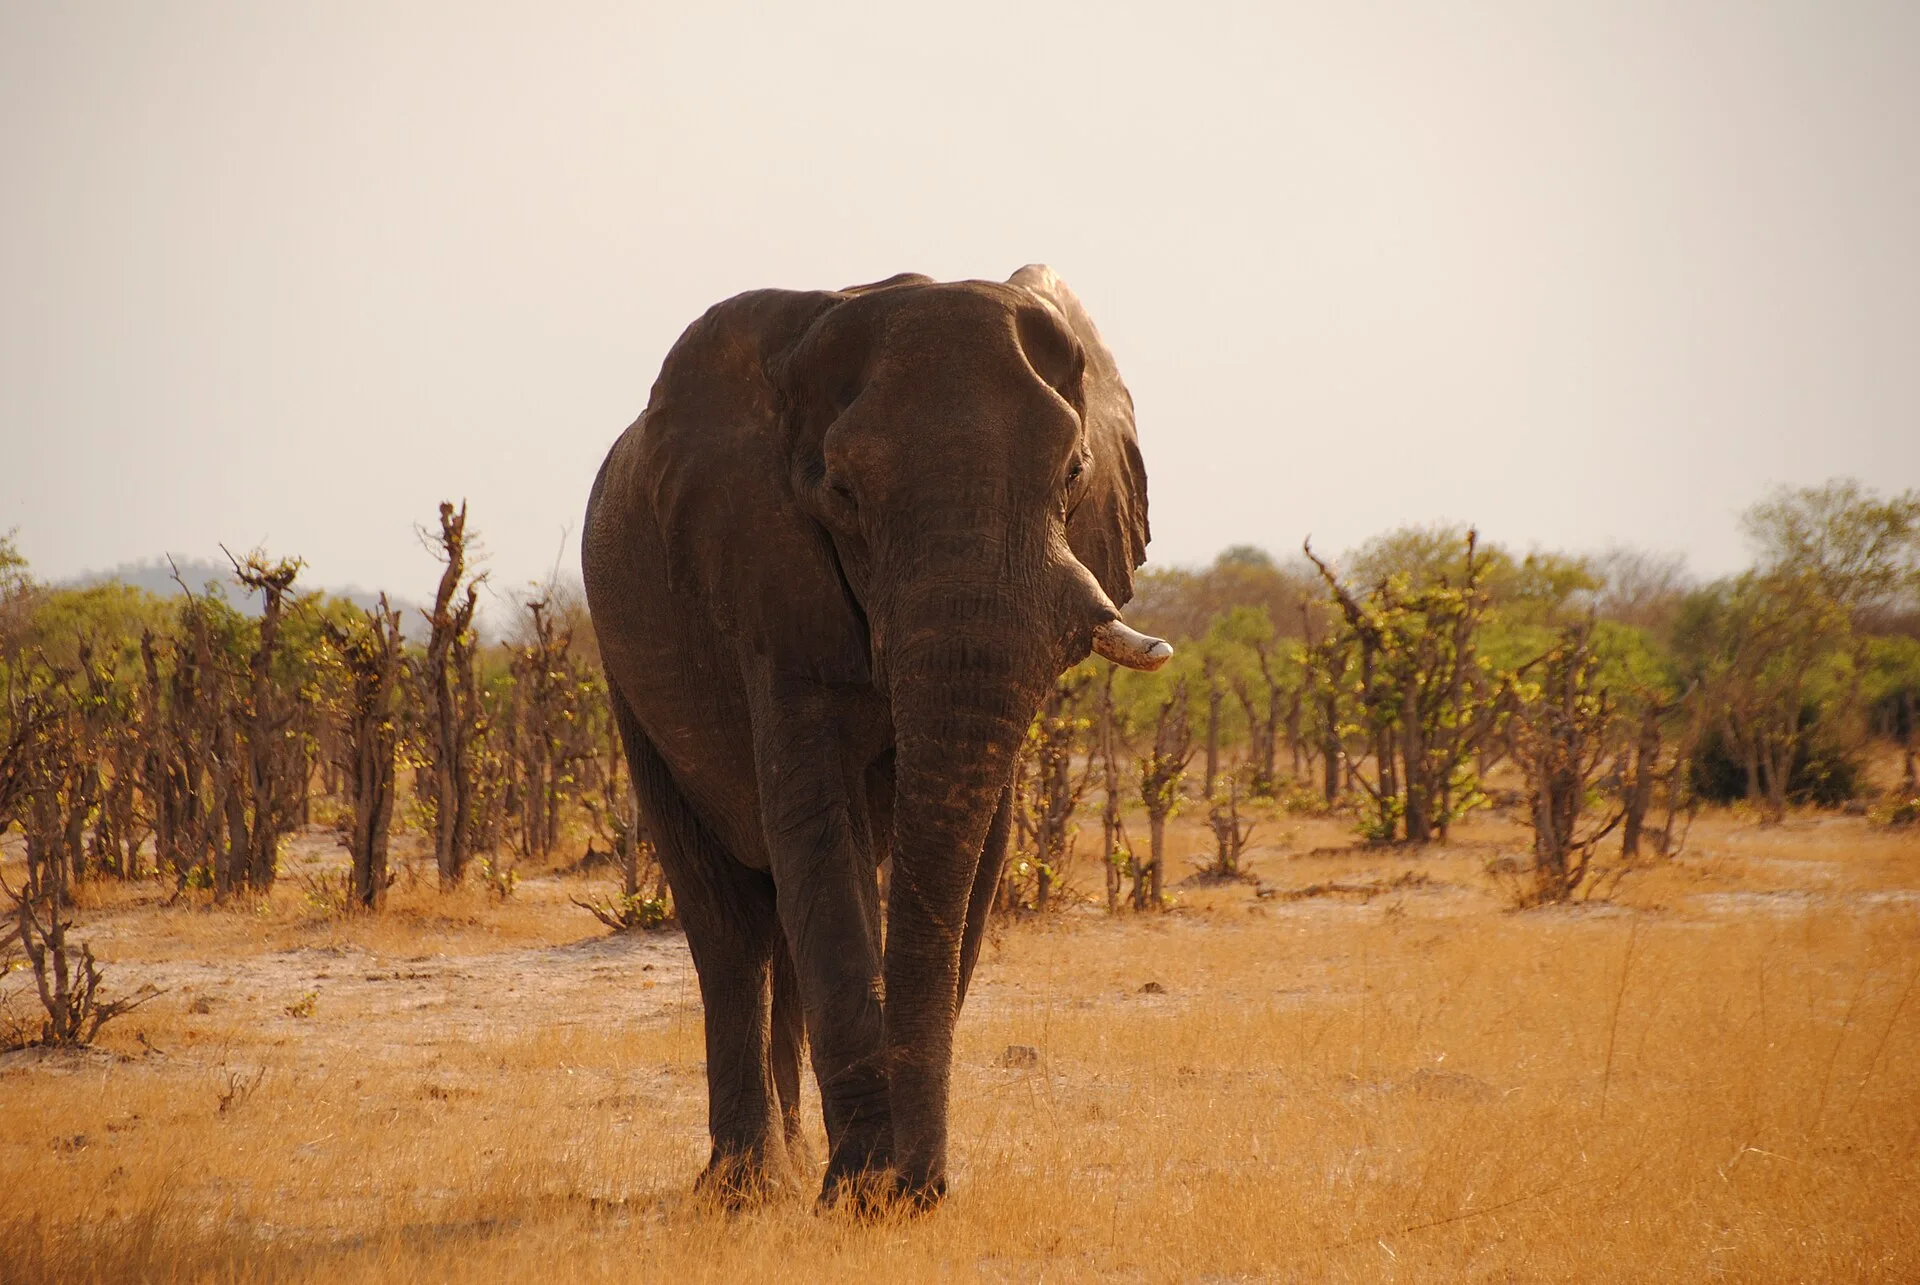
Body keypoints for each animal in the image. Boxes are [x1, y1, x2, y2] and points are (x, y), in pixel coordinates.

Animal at [580, 264, 1170, 1209]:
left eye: (1074, 472)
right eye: (843, 495)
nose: (914, 1188)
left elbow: (976, 859)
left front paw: (890, 1188)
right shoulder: (769, 586)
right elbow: (818, 834)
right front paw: (860, 1193)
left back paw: (784, 1169)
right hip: (626, 673)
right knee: (729, 924)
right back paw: (745, 1189)